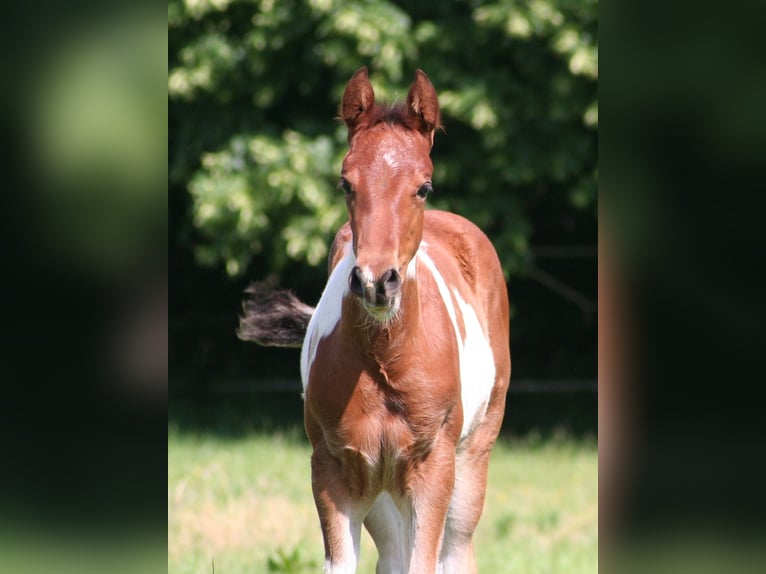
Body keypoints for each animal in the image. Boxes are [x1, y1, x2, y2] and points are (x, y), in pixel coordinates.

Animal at [238, 67, 511, 574]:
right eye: (346, 183)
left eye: (424, 186)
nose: (375, 282)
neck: (386, 358)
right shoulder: (335, 471)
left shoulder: (433, 469)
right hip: (383, 493)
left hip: (470, 458)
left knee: (457, 549)